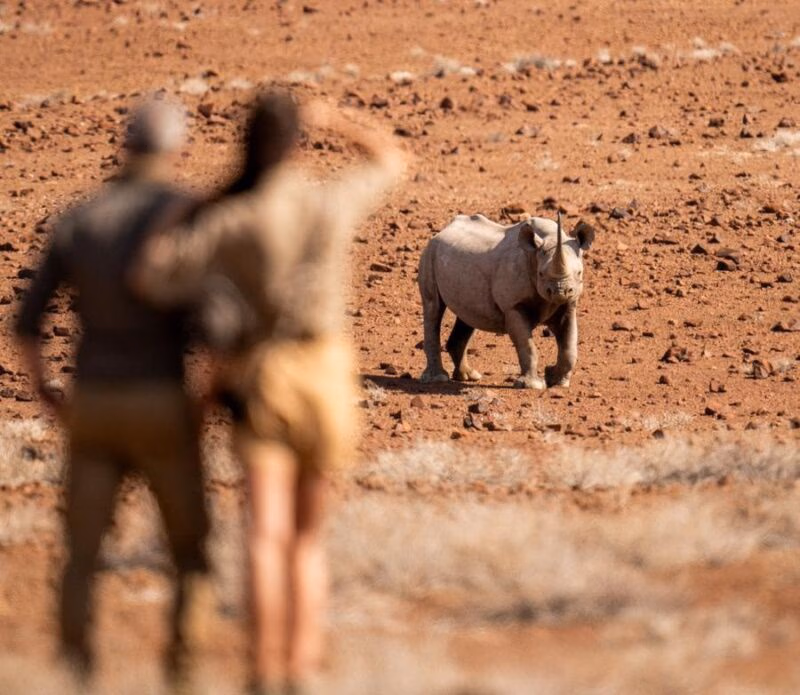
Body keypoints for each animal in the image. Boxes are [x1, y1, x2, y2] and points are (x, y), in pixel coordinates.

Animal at [418, 212, 596, 389]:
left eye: (579, 273)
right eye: (541, 274)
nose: (560, 291)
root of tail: (441, 231)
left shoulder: (568, 305)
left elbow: (569, 347)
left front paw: (556, 381)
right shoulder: (513, 306)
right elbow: (527, 346)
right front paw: (533, 386)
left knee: (467, 316)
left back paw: (469, 376)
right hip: (429, 254)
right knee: (433, 308)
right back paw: (438, 378)